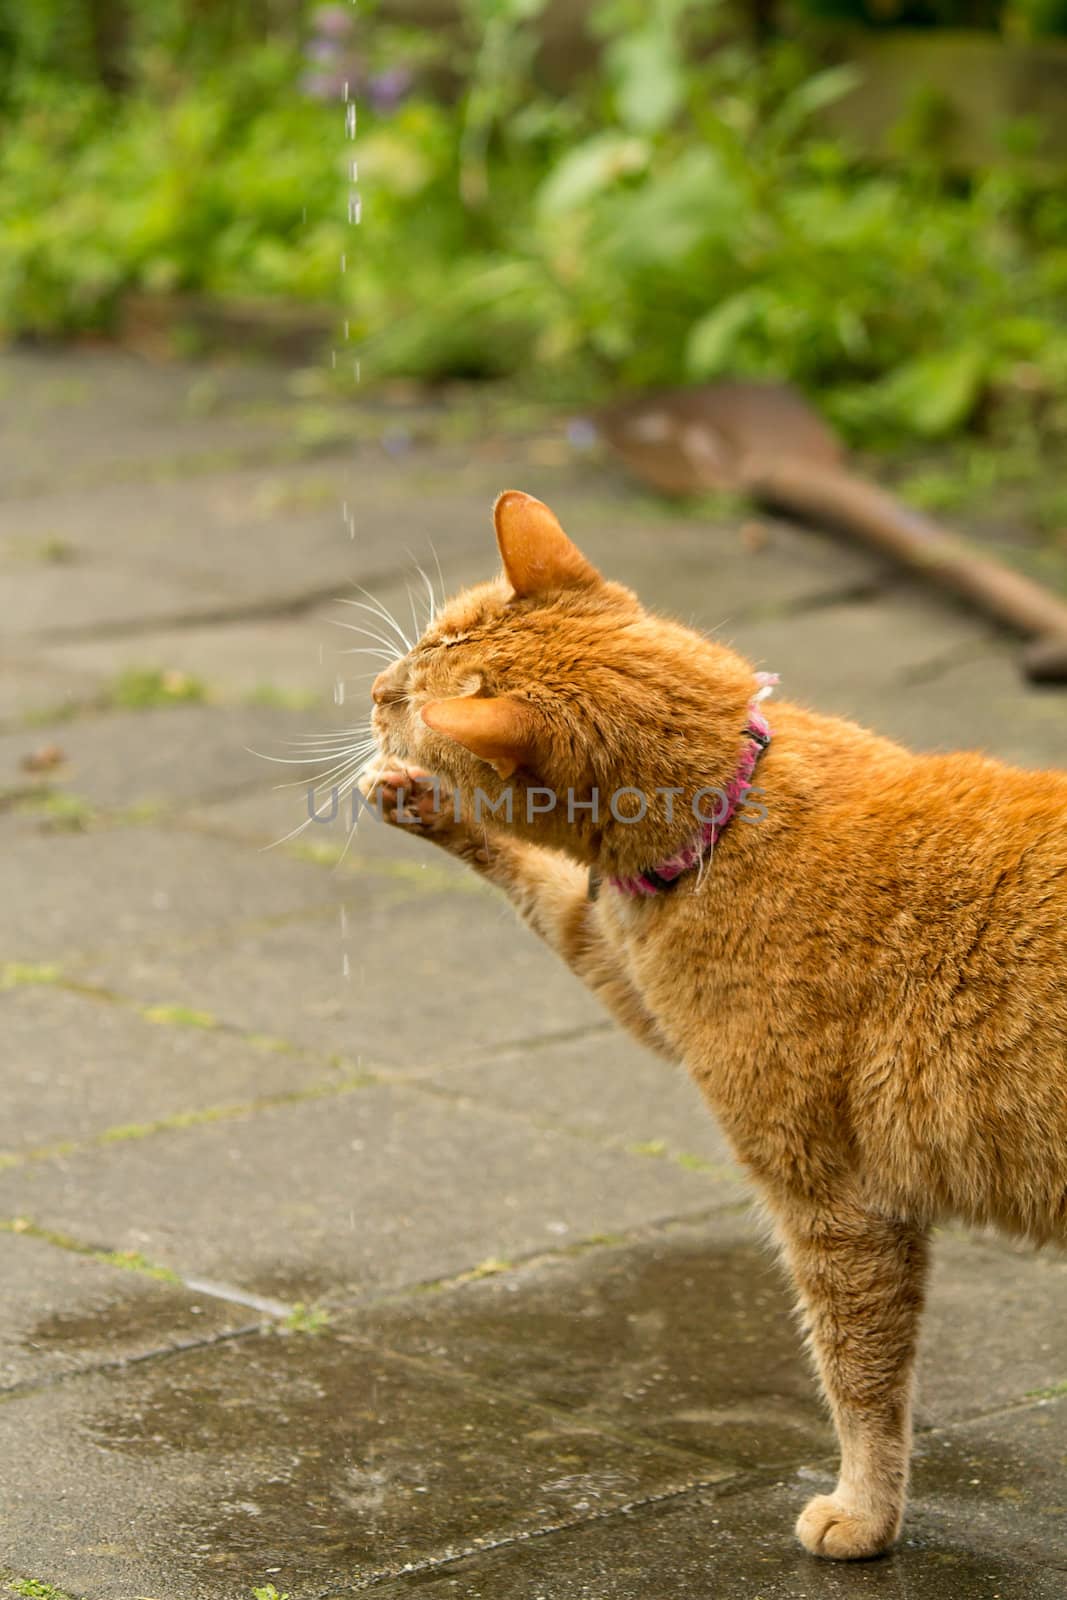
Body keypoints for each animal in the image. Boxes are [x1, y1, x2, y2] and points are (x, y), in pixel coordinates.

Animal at [361, 489, 1067, 1561]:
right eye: (417, 648)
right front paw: (418, 804)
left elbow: (861, 1379)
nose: (372, 690)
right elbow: (549, 891)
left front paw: (864, 1514)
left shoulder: (833, 1204)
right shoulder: (624, 958)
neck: (735, 807)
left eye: (410, 694)